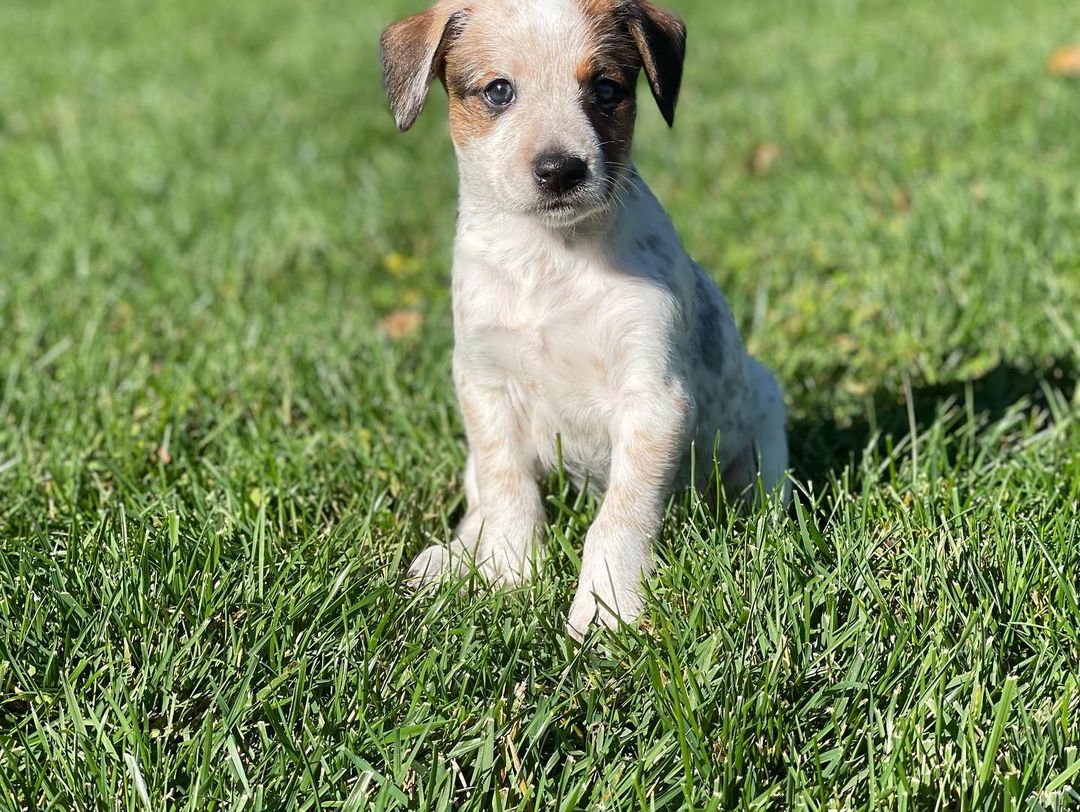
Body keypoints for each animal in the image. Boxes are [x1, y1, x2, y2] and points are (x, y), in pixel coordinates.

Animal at [382, 0, 794, 639]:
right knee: (479, 497)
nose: (560, 169)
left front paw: (605, 610)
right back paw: (448, 561)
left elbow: (619, 518)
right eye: (498, 90)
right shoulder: (484, 385)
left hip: (766, 423)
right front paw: (507, 576)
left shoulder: (653, 399)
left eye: (605, 89)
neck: (550, 262)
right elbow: (507, 491)